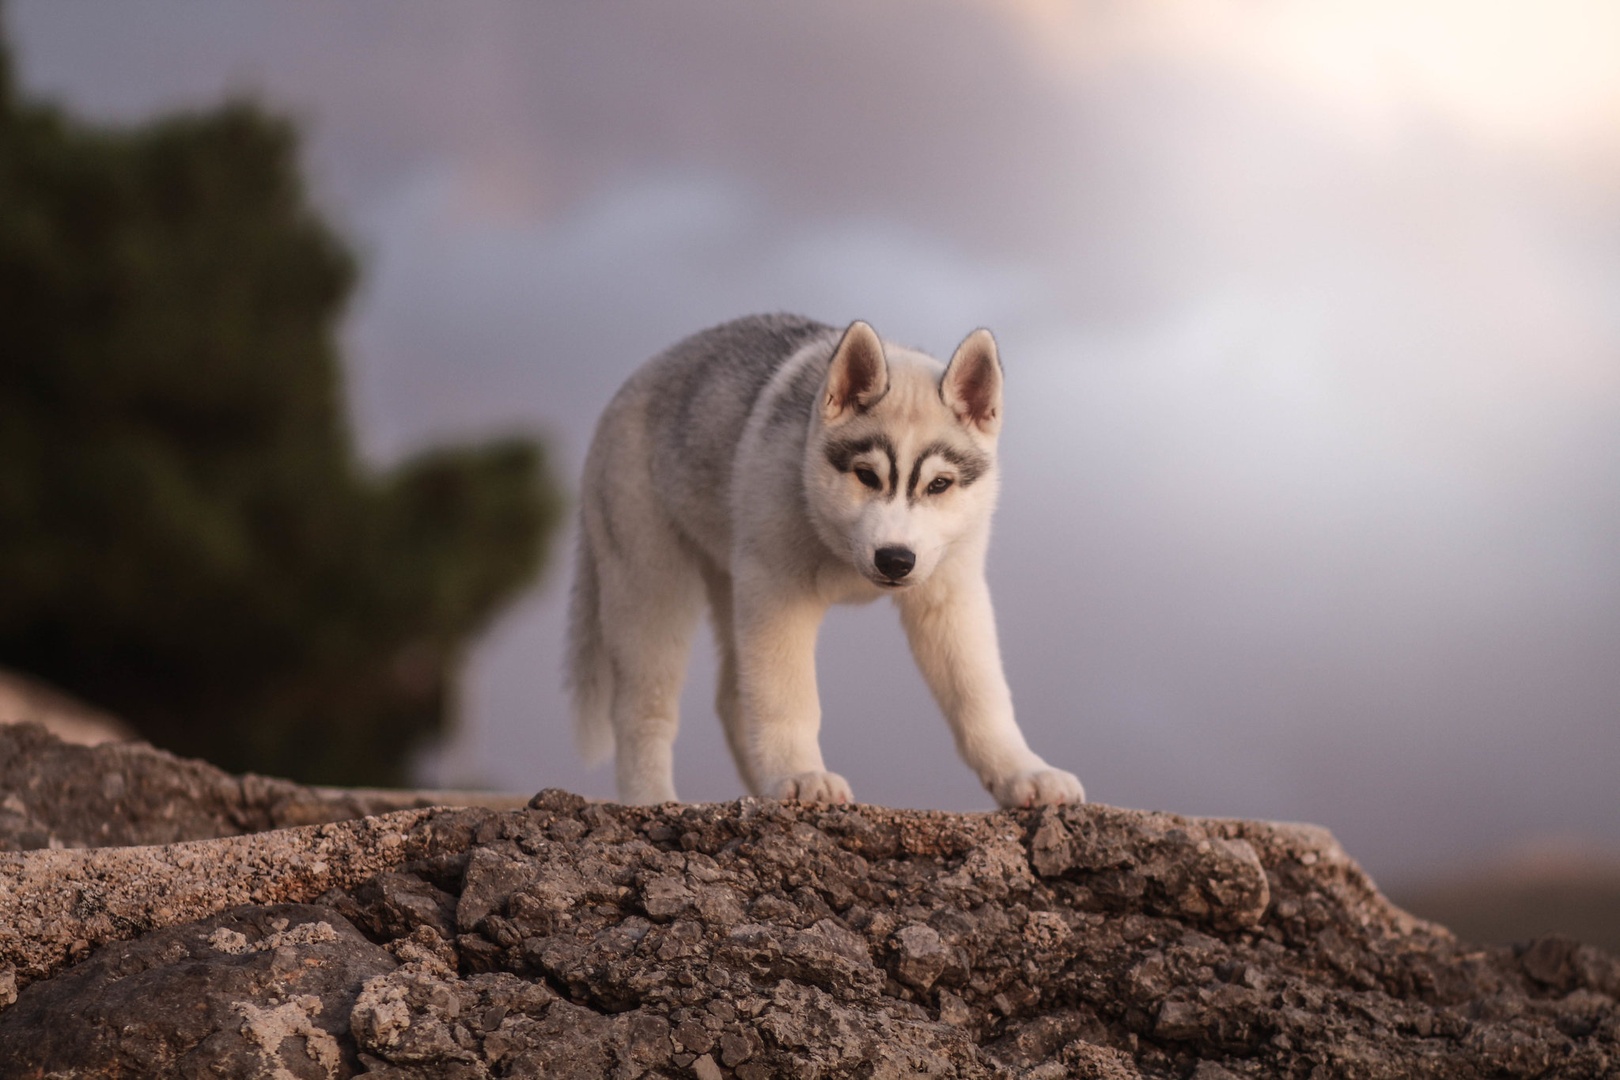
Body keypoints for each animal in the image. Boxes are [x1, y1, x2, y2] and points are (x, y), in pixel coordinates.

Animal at [568, 314, 1084, 808]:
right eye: (866, 475)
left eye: (939, 485)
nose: (895, 560)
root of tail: (634, 382)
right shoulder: (777, 591)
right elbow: (788, 696)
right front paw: (801, 773)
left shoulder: (950, 595)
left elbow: (981, 695)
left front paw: (1023, 772)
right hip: (652, 582)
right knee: (643, 706)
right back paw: (651, 799)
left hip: (733, 579)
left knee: (734, 697)